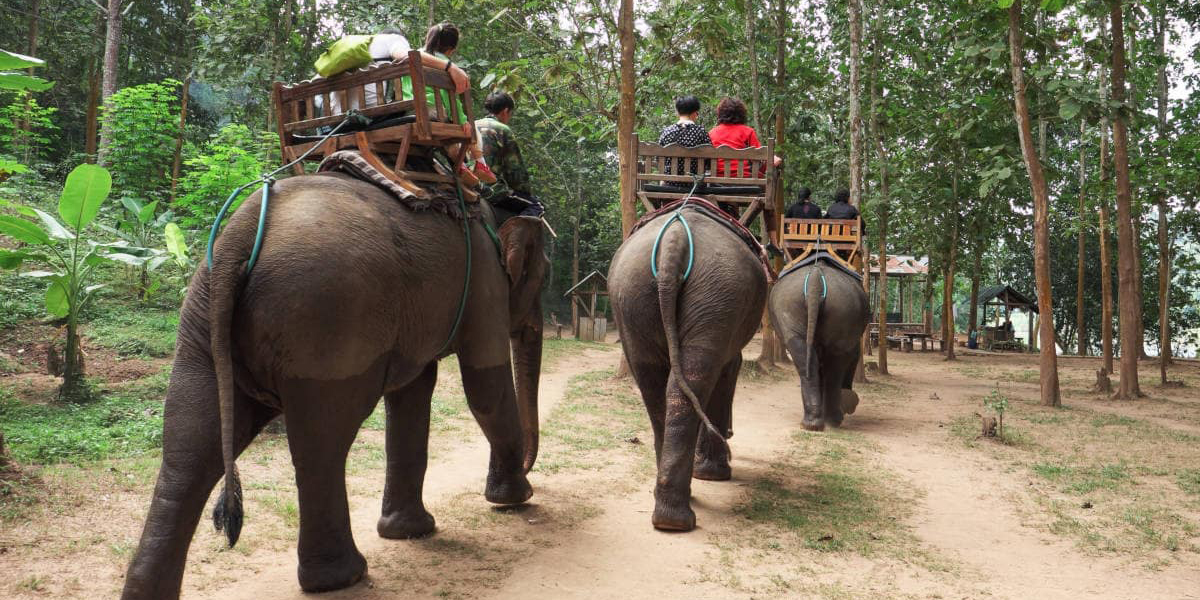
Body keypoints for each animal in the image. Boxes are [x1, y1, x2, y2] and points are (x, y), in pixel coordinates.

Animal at [120, 173, 547, 599]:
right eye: (544, 275)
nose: (530, 470)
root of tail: (237, 236)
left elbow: (413, 392)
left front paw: (411, 532)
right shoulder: (486, 283)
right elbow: (484, 389)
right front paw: (516, 500)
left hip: (203, 317)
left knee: (188, 448)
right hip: (327, 324)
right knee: (323, 444)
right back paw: (343, 578)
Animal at [609, 205, 767, 532]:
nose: (731, 432)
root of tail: (675, 239)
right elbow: (729, 369)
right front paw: (714, 473)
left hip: (636, 293)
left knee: (655, 383)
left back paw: (668, 515)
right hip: (717, 295)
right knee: (694, 379)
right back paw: (680, 515)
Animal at [767, 261, 869, 431]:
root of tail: (815, 279)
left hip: (792, 307)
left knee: (805, 357)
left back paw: (812, 424)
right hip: (841, 309)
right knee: (833, 364)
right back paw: (831, 420)